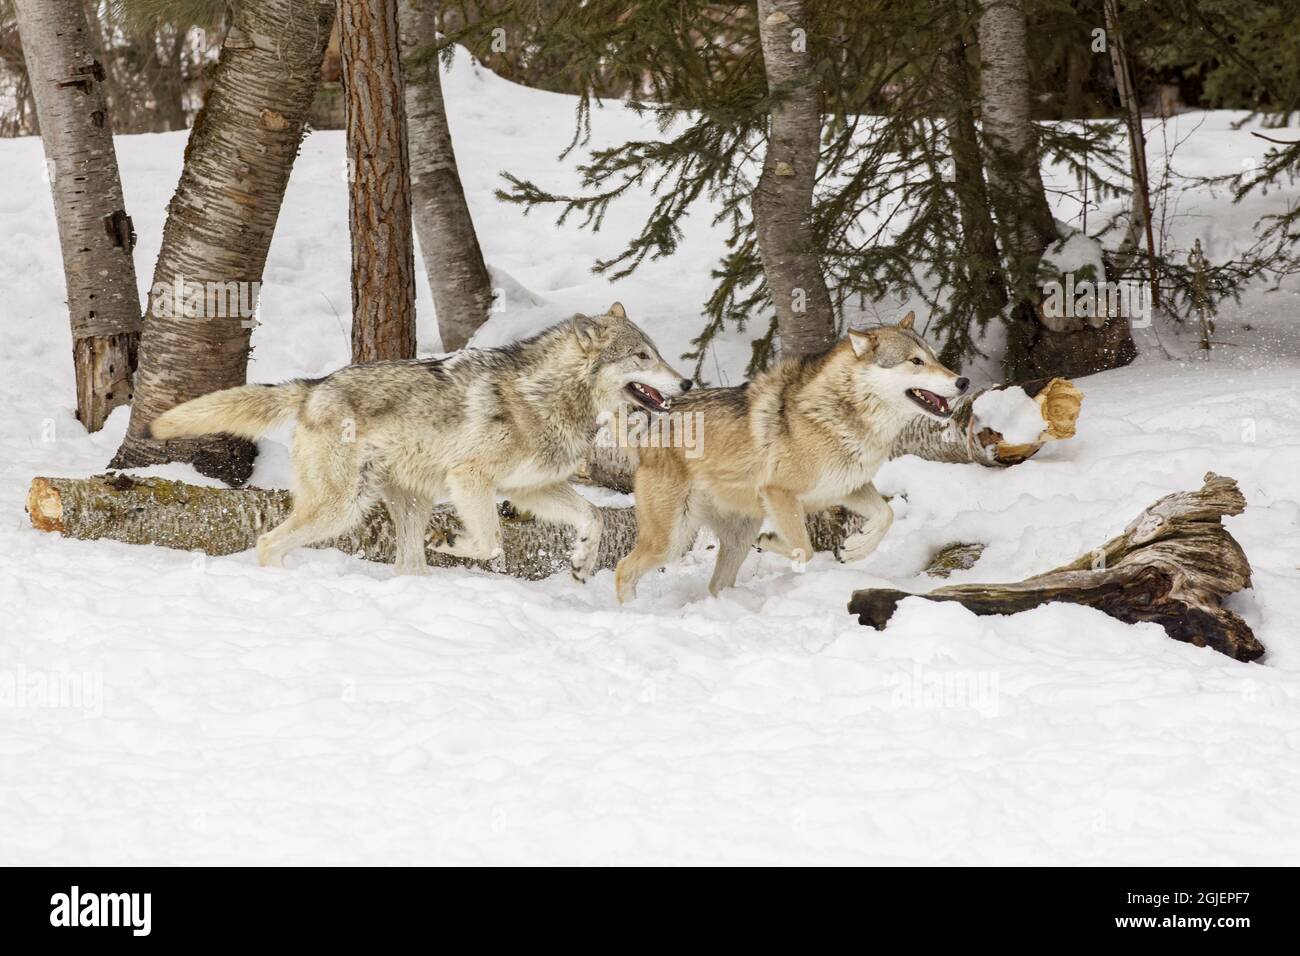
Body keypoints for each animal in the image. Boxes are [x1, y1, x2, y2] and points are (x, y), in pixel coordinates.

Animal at [149, 303, 691, 580]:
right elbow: (491, 543)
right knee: (267, 542)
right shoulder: (471, 481)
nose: (686, 383)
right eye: (643, 357)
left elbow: (594, 517)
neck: (550, 396)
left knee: (406, 565)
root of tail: (314, 386)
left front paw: (581, 562)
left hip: (407, 503)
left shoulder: (530, 490)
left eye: (658, 353)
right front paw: (454, 540)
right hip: (344, 508)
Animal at [613, 310, 972, 600]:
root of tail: (648, 423)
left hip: (735, 537)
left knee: (716, 585)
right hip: (673, 541)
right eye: (915, 361)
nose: (964, 381)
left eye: (935, 357)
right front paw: (773, 541)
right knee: (623, 570)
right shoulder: (780, 493)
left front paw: (856, 549)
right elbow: (805, 549)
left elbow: (887, 515)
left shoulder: (848, 487)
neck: (841, 414)